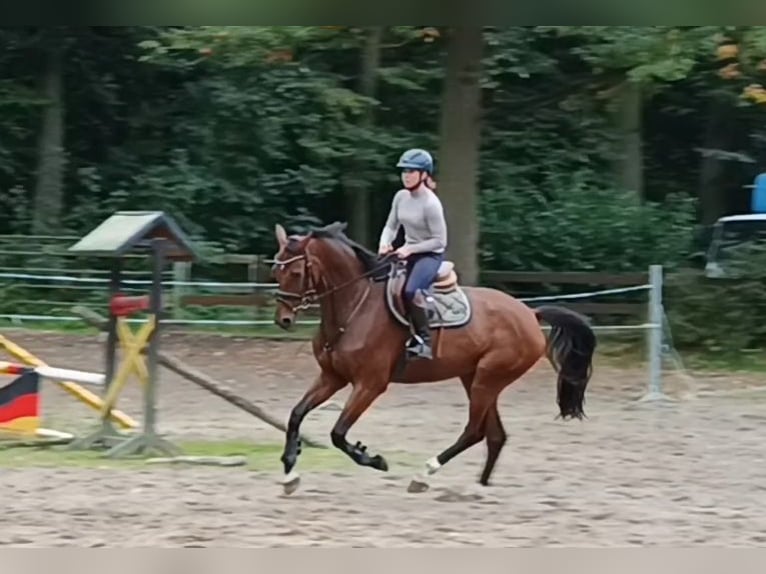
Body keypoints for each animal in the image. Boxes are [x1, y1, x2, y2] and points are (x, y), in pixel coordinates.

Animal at [270, 220, 600, 496]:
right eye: (276, 272)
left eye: (296, 273)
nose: (283, 320)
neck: (355, 307)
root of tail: (530, 313)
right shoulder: (332, 377)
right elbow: (296, 414)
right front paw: (289, 470)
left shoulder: (370, 384)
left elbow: (338, 434)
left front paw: (374, 459)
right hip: (475, 378)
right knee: (494, 435)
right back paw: (480, 486)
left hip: (487, 379)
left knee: (474, 432)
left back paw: (425, 474)